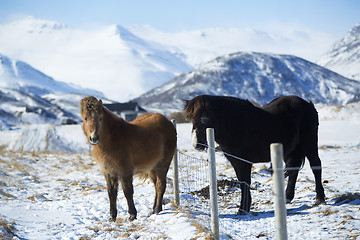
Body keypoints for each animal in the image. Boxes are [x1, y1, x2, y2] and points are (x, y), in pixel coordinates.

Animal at [184, 94, 324, 215]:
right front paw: (244, 207)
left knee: (316, 166)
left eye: (205, 119)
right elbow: (242, 182)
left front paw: (243, 208)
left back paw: (320, 197)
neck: (234, 125)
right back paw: (287, 198)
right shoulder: (235, 161)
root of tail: (307, 104)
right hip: (290, 150)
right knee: (294, 171)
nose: (197, 144)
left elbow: (245, 182)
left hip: (309, 143)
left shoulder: (244, 162)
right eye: (191, 119)